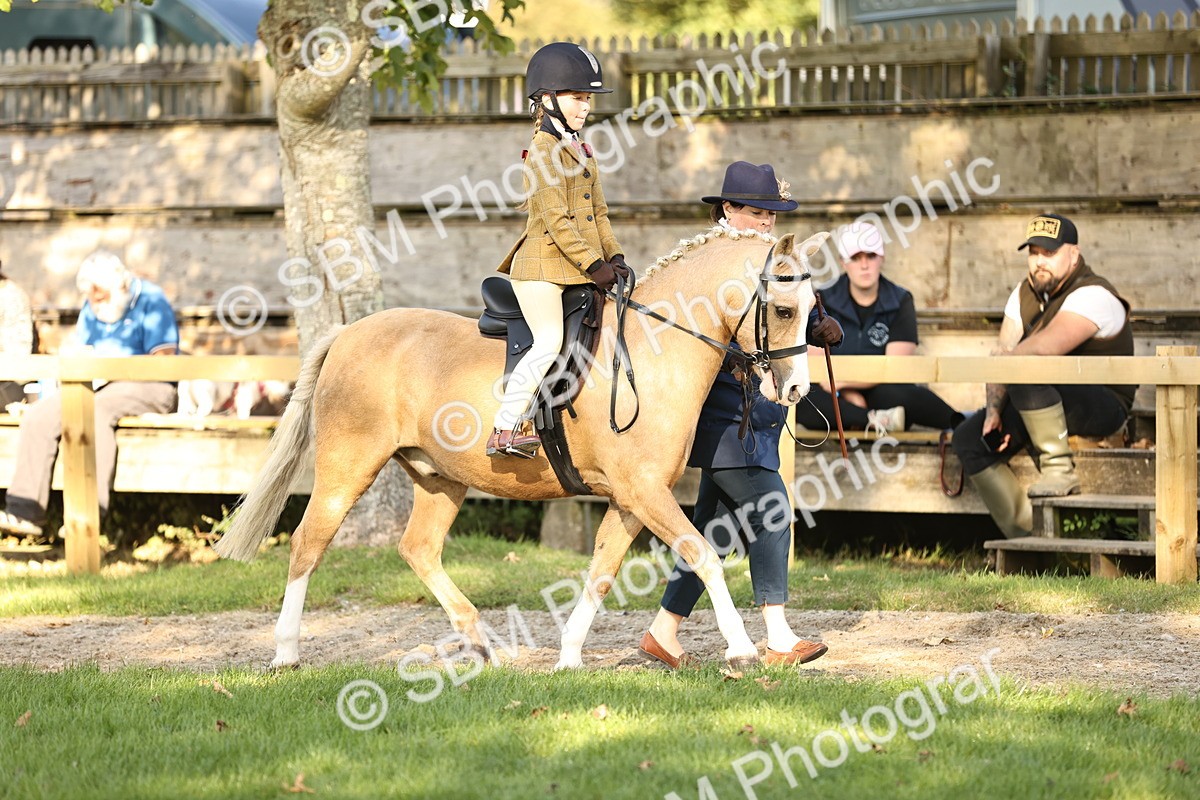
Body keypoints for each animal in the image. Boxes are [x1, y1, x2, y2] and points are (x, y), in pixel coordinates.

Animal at [214, 225, 828, 670]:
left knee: (419, 549)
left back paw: (480, 642)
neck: (652, 350)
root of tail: (348, 333)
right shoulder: (645, 492)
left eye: (812, 307)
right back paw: (287, 653)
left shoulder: (631, 499)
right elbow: (703, 556)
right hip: (348, 468)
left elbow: (602, 571)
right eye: (783, 309)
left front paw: (569, 657)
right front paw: (741, 649)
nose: (797, 390)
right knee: (307, 545)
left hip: (440, 478)